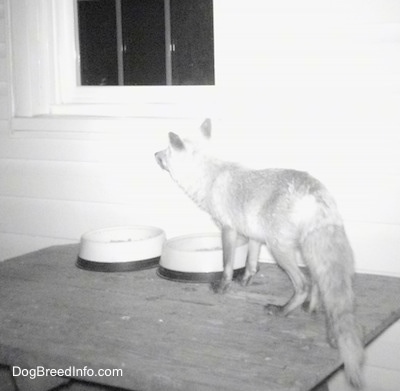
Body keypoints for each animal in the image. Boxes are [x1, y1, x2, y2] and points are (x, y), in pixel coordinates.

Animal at [154, 118, 366, 388]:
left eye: (166, 150)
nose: (154, 154)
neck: (211, 177)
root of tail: (316, 191)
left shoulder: (229, 229)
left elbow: (226, 265)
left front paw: (223, 287)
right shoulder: (254, 235)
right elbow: (251, 262)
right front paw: (246, 280)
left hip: (280, 249)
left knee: (304, 283)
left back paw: (283, 310)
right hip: (306, 250)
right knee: (319, 282)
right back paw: (312, 309)